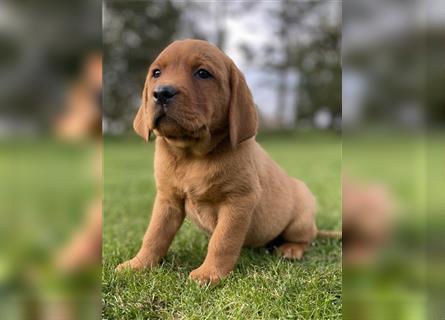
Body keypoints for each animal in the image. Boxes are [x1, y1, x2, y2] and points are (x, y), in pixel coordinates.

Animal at [116, 39, 328, 282]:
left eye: (202, 73)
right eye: (156, 73)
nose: (161, 93)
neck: (192, 155)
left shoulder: (239, 200)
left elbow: (223, 241)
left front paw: (209, 274)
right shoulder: (167, 200)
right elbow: (154, 235)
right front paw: (138, 264)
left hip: (300, 219)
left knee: (305, 238)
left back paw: (291, 249)